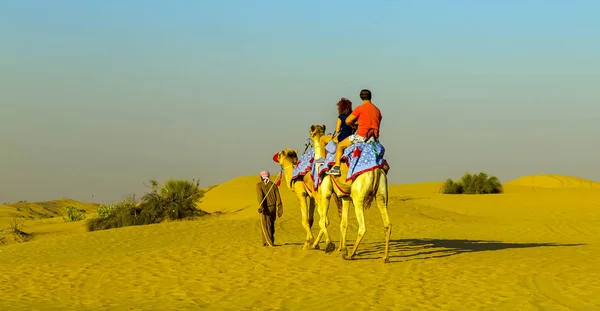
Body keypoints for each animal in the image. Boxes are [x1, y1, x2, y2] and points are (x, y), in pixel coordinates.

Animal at [310, 124, 394, 264]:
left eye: (311, 132)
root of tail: (376, 170)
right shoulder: (345, 197)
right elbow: (343, 223)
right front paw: (342, 249)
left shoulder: (326, 191)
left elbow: (322, 221)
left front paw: (330, 246)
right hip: (382, 193)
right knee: (387, 224)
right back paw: (385, 257)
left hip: (358, 195)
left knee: (362, 227)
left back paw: (351, 255)